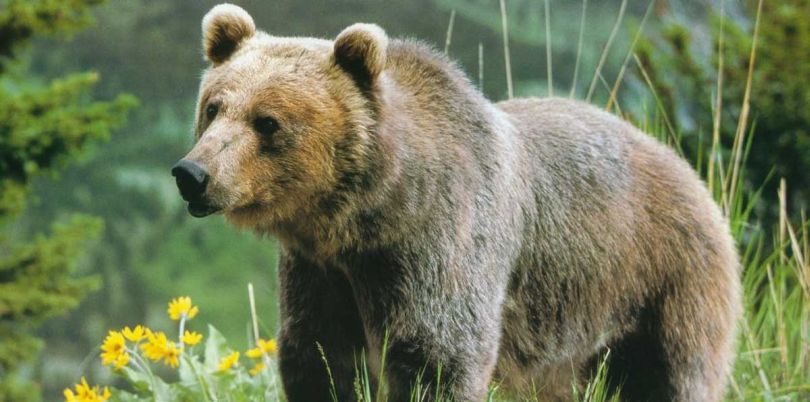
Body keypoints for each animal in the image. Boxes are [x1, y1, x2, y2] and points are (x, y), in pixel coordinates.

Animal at [172, 3, 740, 402]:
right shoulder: (322, 272)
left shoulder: (442, 244)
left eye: (267, 121)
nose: (192, 174)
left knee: (675, 374)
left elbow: (439, 355)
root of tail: (685, 165)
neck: (372, 213)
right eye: (214, 108)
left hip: (662, 281)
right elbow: (319, 357)